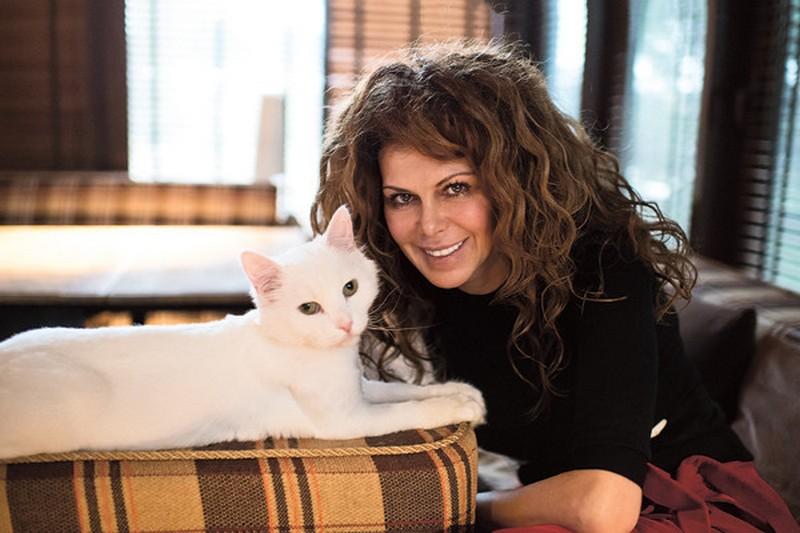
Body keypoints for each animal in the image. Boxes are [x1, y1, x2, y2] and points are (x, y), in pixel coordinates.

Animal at [0, 205, 485, 460]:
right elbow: (408, 411)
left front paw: (459, 390)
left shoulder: (359, 390)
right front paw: (455, 406)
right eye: (309, 309)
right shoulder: (346, 421)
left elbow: (402, 390)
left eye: (351, 288)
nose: (346, 324)